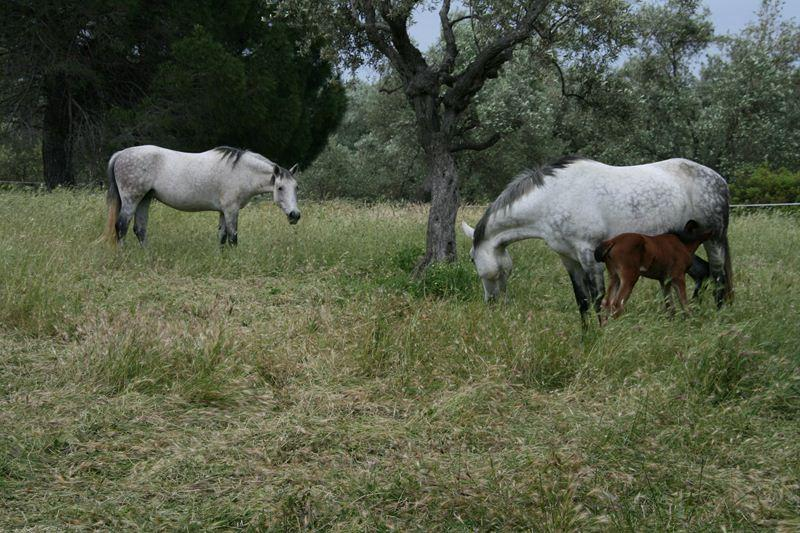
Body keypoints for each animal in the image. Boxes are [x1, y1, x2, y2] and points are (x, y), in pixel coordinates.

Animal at [101, 144, 300, 246]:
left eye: (296, 187)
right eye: (280, 188)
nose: (295, 215)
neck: (241, 171)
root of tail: (121, 154)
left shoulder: (223, 211)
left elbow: (222, 237)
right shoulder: (231, 210)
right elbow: (233, 237)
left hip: (144, 199)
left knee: (140, 229)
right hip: (131, 199)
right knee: (121, 226)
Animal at [460, 156, 736, 322]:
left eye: (472, 259)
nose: (492, 302)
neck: (553, 197)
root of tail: (719, 180)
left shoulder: (588, 255)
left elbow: (597, 299)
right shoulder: (569, 259)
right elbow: (582, 301)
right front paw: (586, 337)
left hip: (714, 239)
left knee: (719, 278)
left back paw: (719, 317)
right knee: (703, 273)